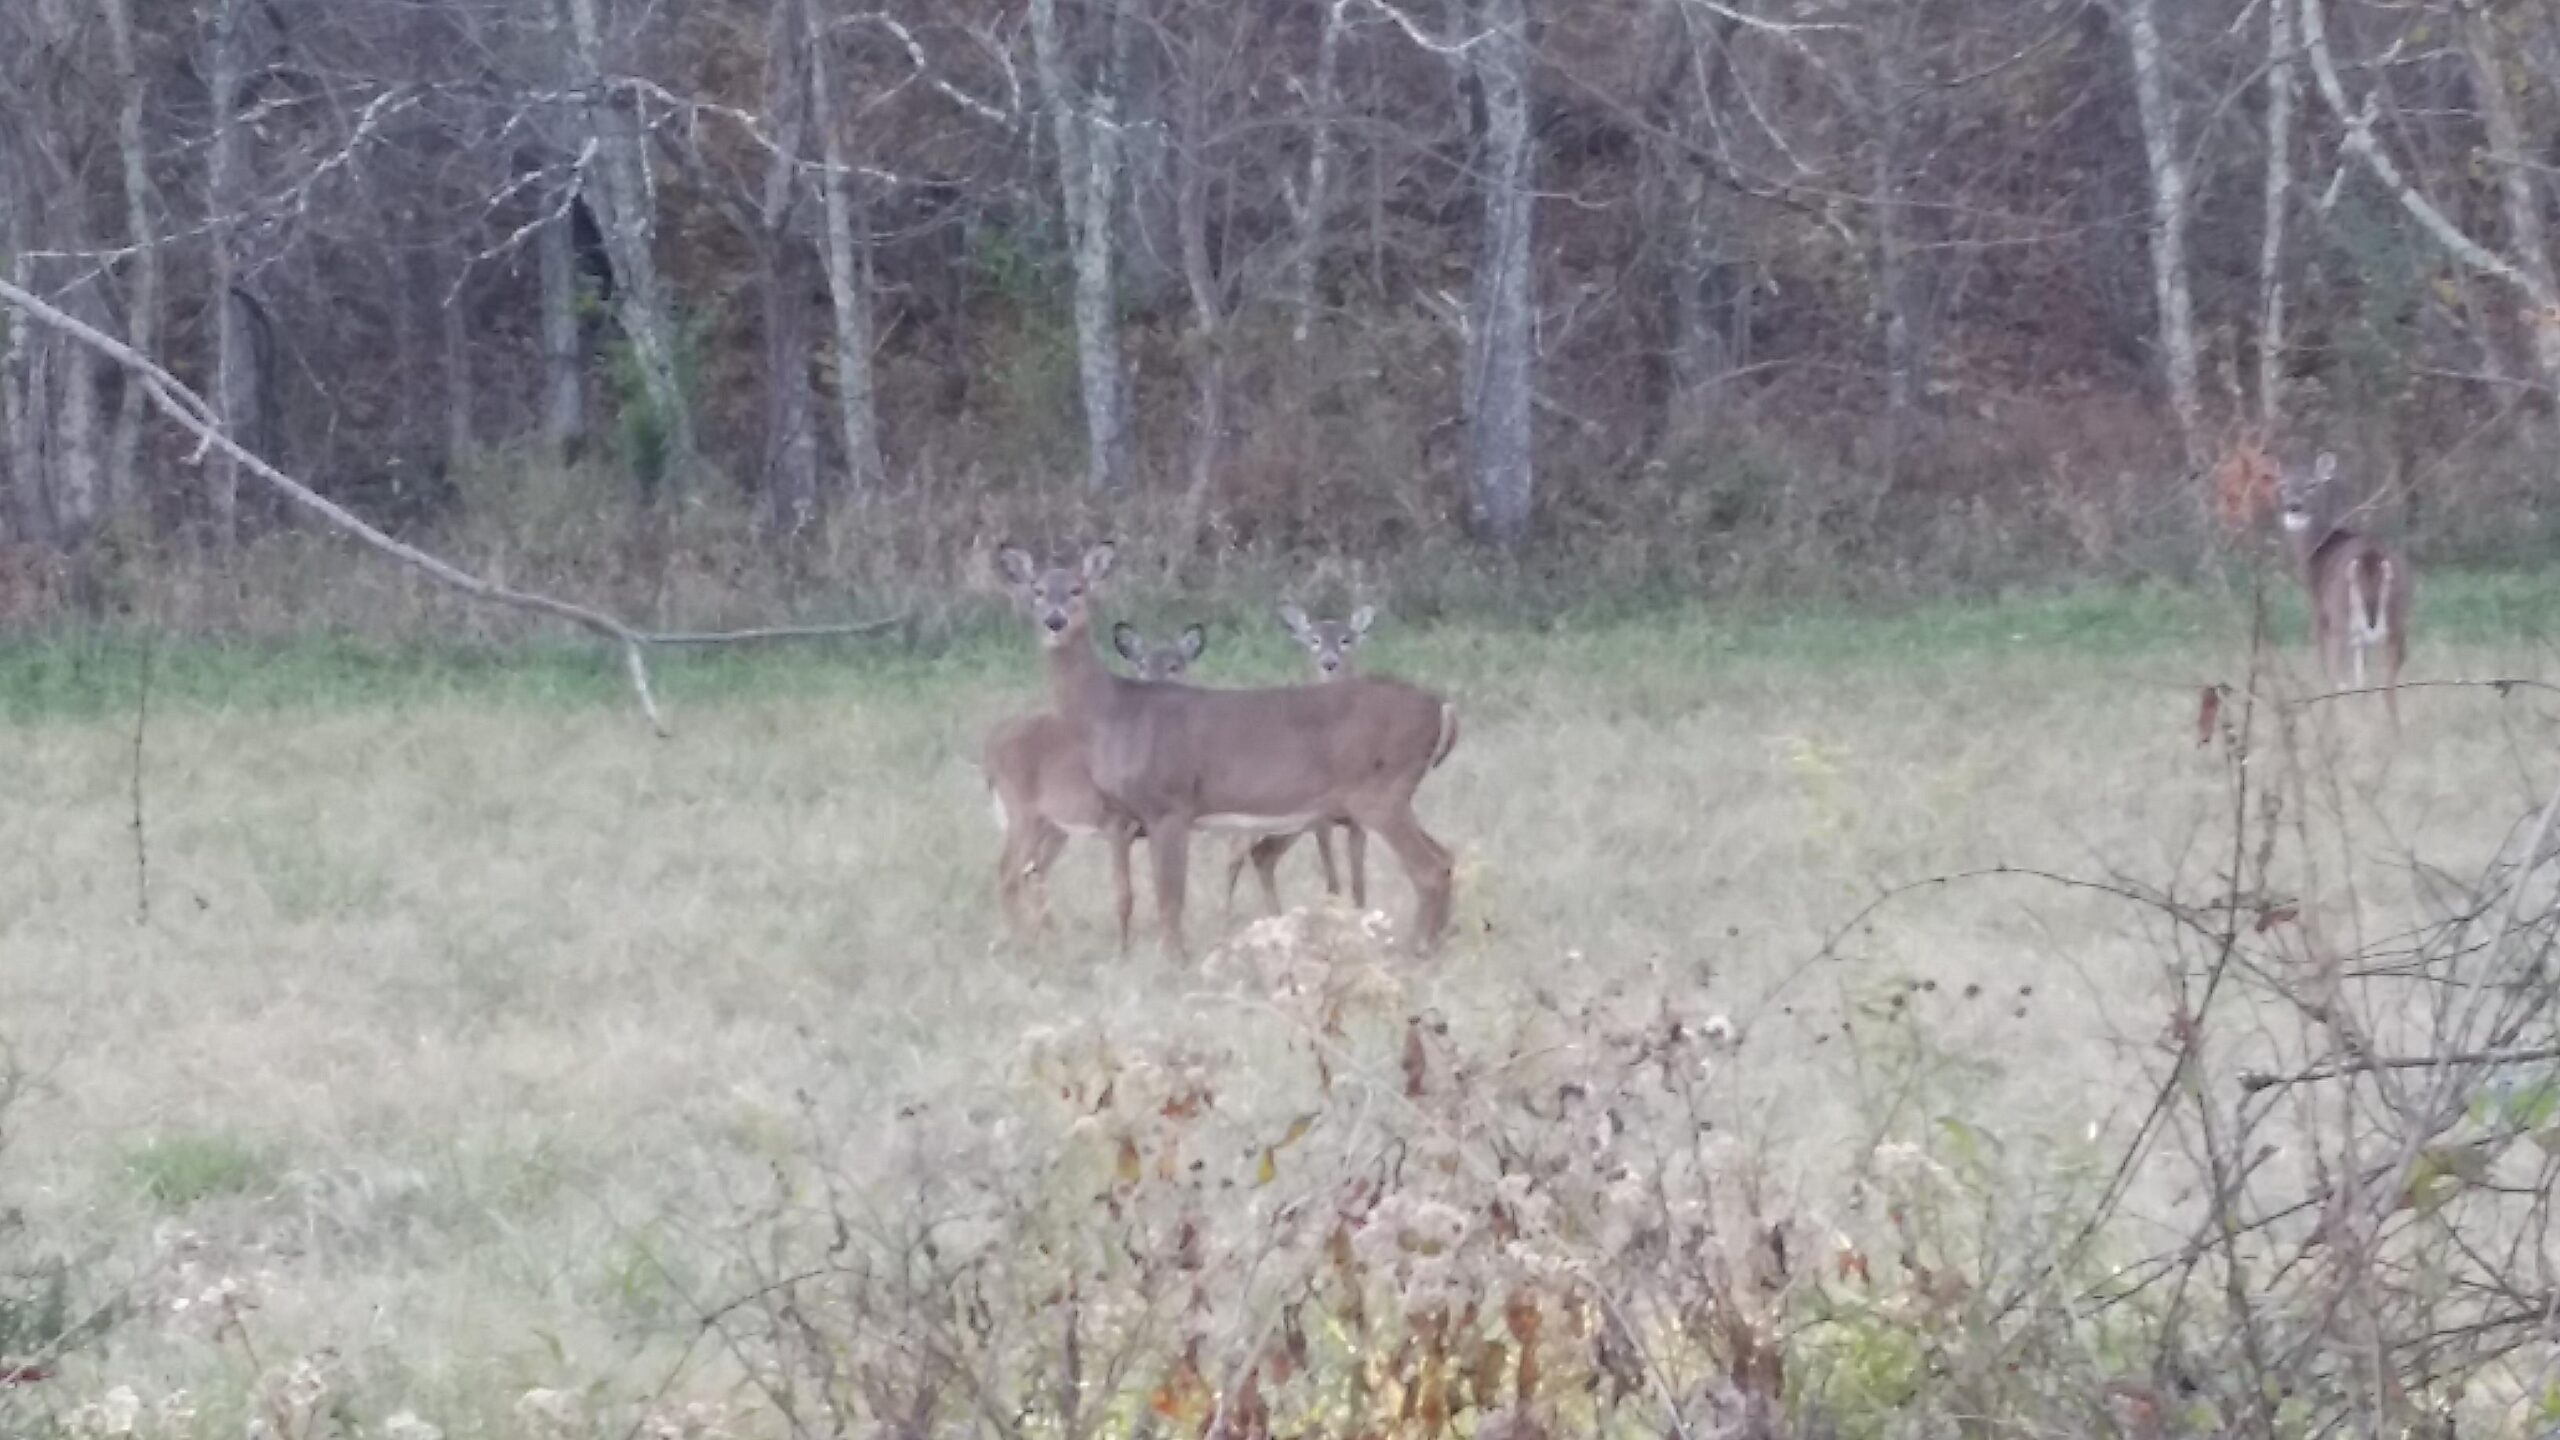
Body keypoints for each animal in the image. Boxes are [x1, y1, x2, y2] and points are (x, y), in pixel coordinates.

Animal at [983, 621, 1205, 950]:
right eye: (1140, 664)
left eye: (1175, 666)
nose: (1155, 687)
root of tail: (992, 742)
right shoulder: (1116, 823)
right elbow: (1125, 894)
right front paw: (1124, 948)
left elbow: (1168, 889)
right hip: (1022, 813)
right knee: (1007, 874)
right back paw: (1019, 942)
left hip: (1054, 826)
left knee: (1033, 873)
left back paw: (1051, 936)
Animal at [1221, 605, 1379, 918]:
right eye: (1313, 640)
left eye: (1346, 639)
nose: (1329, 663)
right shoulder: (1320, 817)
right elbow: (1332, 878)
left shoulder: (1358, 817)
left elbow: (1358, 882)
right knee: (1236, 852)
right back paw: (1226, 916)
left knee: (1262, 855)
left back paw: (1275, 915)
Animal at [2280, 450, 2412, 727]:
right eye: (2282, 486)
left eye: (2312, 485)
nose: (2293, 506)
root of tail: (2370, 557)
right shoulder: (2359, 636)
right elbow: (2361, 677)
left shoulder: (2319, 612)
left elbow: (2334, 673)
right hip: (2399, 614)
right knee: (2390, 680)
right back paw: (2395, 730)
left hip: (2339, 615)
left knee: (2334, 673)